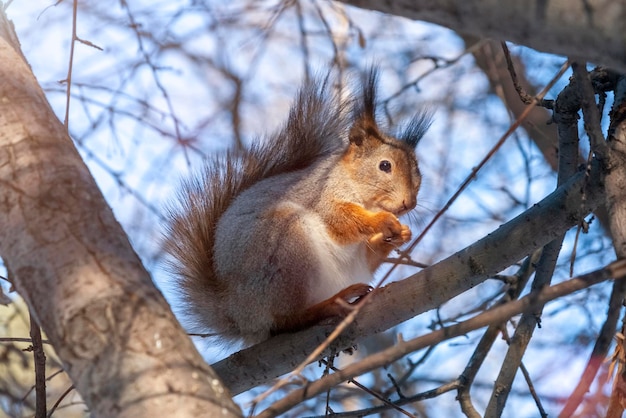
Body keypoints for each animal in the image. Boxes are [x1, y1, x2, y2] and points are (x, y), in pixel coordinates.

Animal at [163, 68, 432, 346]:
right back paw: (324, 307)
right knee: (286, 320)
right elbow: (340, 220)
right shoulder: (322, 194)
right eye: (384, 165)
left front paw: (401, 234)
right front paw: (382, 221)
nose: (408, 203)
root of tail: (239, 315)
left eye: (418, 171)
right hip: (288, 250)